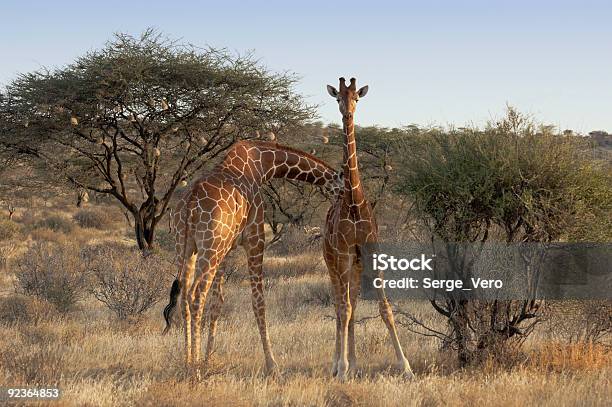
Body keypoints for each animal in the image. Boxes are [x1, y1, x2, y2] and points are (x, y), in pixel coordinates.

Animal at [163, 139, 344, 374]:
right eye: (343, 189)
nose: (347, 204)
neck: (263, 165)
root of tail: (190, 204)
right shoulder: (255, 237)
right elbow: (259, 300)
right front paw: (272, 364)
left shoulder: (228, 248)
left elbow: (218, 301)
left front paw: (209, 358)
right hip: (210, 246)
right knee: (196, 294)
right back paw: (195, 368)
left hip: (186, 245)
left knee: (185, 294)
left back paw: (187, 360)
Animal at [322, 77, 414, 382]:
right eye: (338, 97)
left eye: (357, 98)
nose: (348, 114)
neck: (353, 203)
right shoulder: (343, 254)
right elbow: (344, 309)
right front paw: (341, 368)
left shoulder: (370, 251)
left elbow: (384, 308)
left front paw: (406, 367)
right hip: (333, 262)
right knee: (340, 306)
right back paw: (338, 365)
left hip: (355, 264)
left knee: (349, 304)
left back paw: (354, 363)